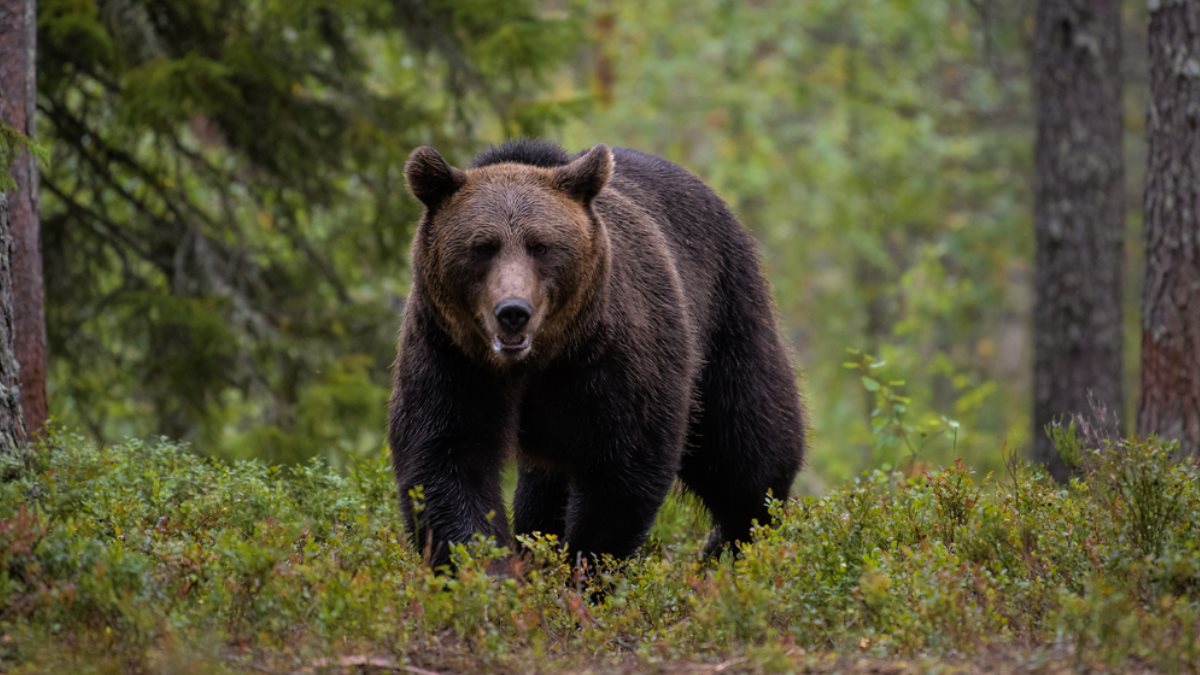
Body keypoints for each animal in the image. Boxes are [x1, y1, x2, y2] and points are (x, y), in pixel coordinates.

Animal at [391, 139, 806, 564]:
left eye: (540, 246)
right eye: (482, 246)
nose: (513, 312)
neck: (539, 359)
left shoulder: (612, 357)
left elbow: (622, 469)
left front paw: (587, 563)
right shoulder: (452, 355)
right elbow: (448, 459)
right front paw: (488, 565)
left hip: (726, 315)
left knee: (745, 448)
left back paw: (740, 542)